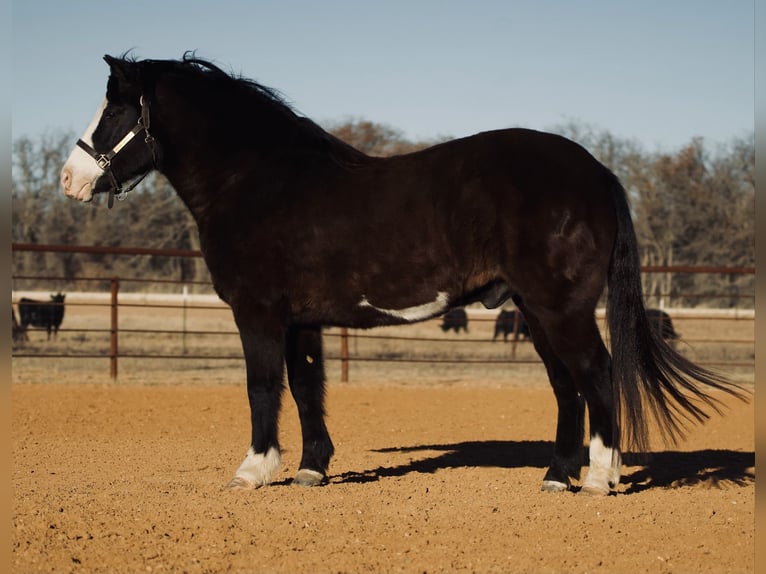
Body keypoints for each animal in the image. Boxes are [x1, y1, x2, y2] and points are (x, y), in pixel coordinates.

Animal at [61, 54, 745, 495]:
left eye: (115, 111)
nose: (70, 179)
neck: (258, 180)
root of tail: (597, 172)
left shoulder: (257, 314)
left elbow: (262, 387)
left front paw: (253, 471)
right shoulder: (302, 321)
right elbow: (306, 388)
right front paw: (312, 469)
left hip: (561, 308)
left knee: (596, 375)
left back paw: (601, 478)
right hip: (536, 310)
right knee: (567, 386)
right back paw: (557, 477)